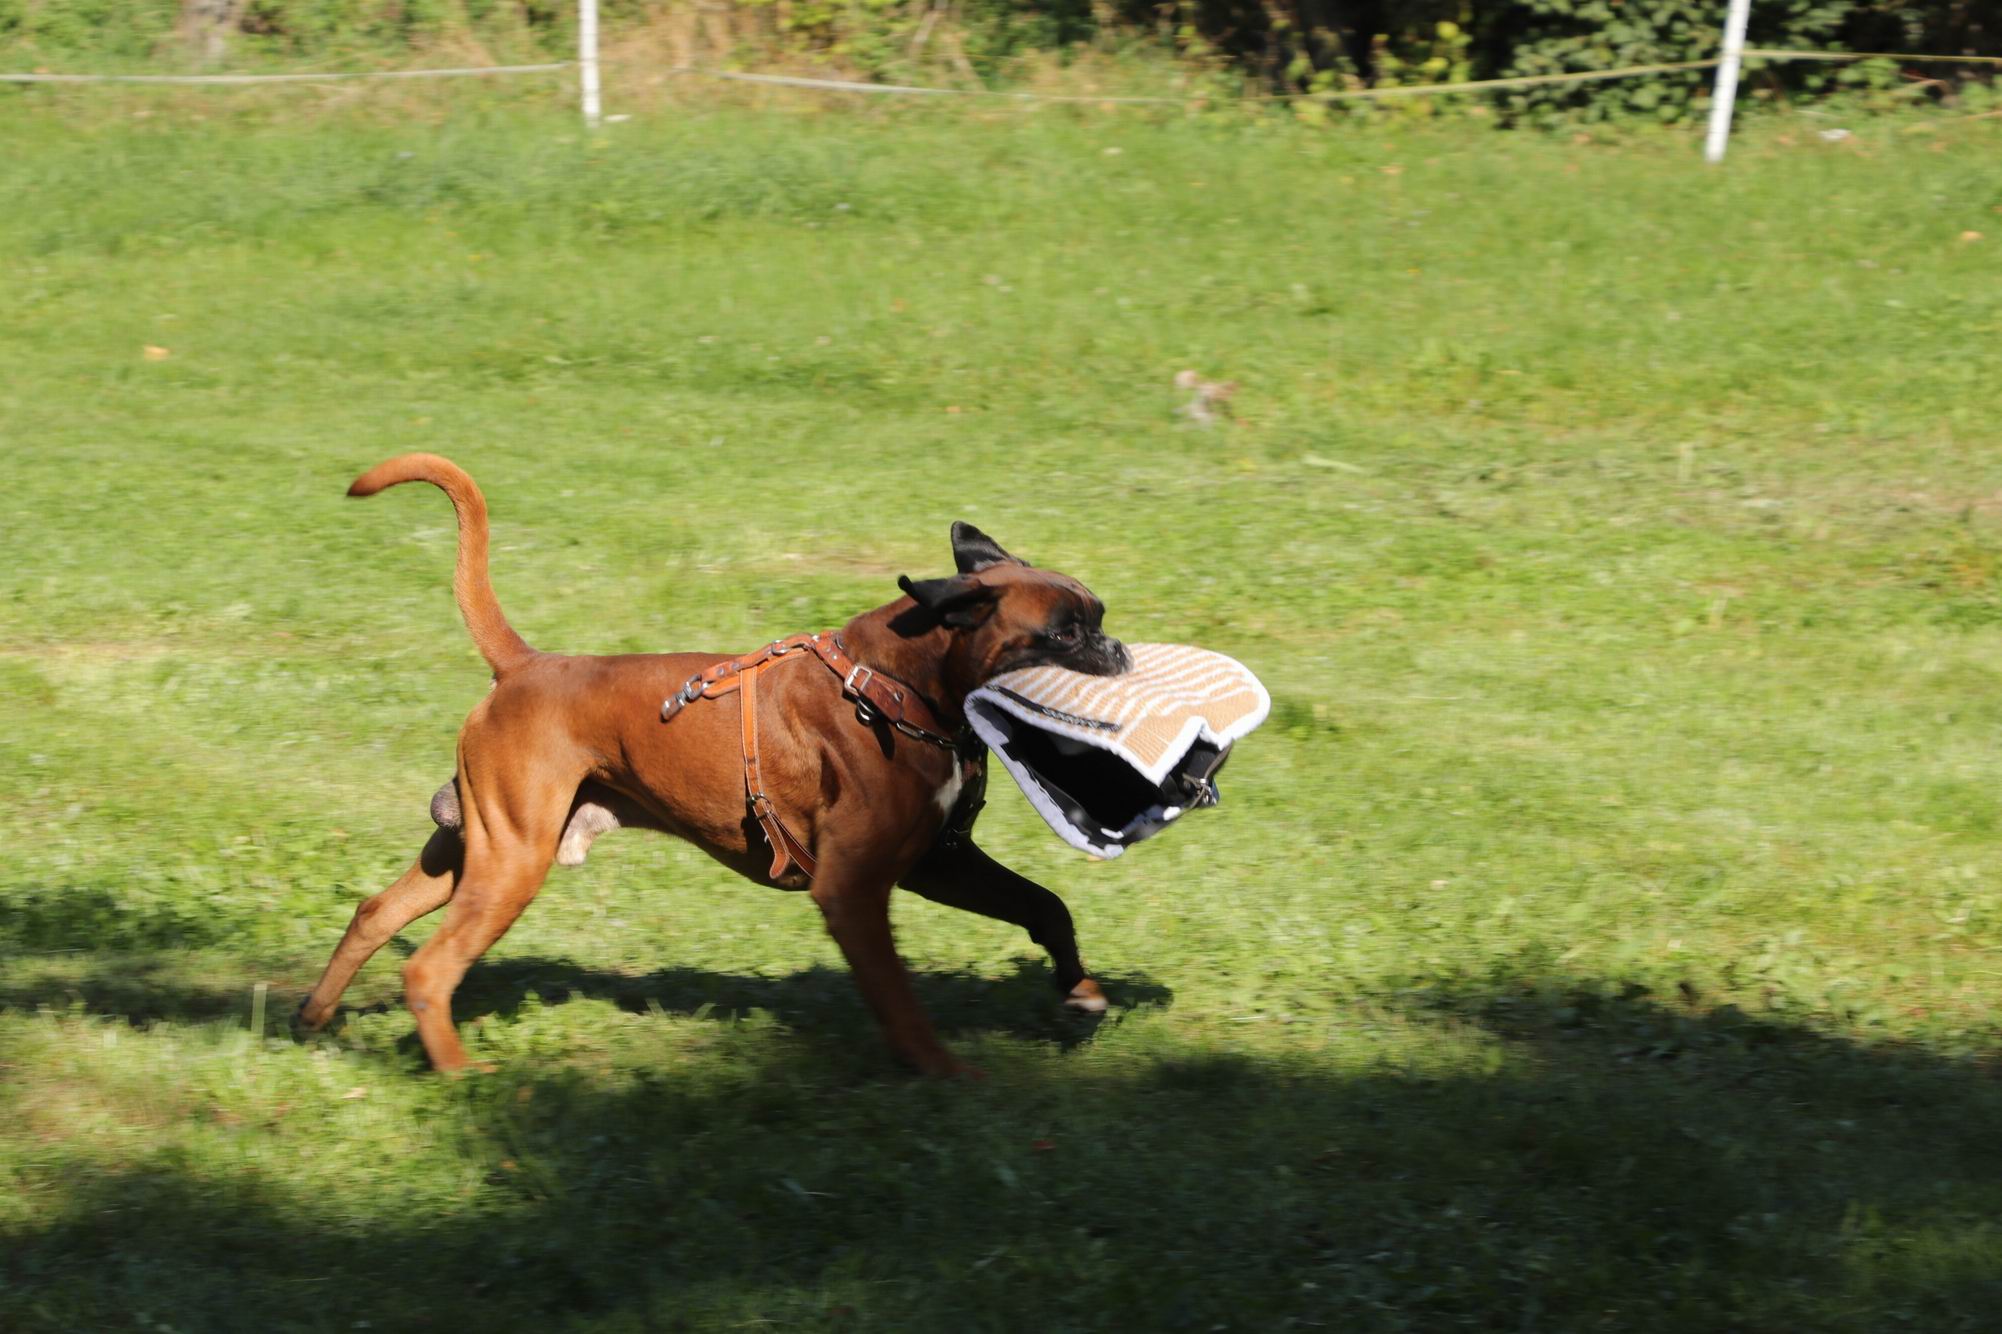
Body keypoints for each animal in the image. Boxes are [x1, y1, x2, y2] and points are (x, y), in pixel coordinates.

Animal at [295, 454, 1129, 1076]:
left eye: (1097, 619)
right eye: (1063, 634)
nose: (1118, 652)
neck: (894, 683)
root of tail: (527, 666)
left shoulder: (940, 861)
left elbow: (1045, 905)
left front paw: (1081, 990)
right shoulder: (853, 889)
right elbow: (900, 999)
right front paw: (946, 1070)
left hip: (473, 849)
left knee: (374, 913)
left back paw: (314, 1016)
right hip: (509, 863)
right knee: (428, 972)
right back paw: (463, 1076)